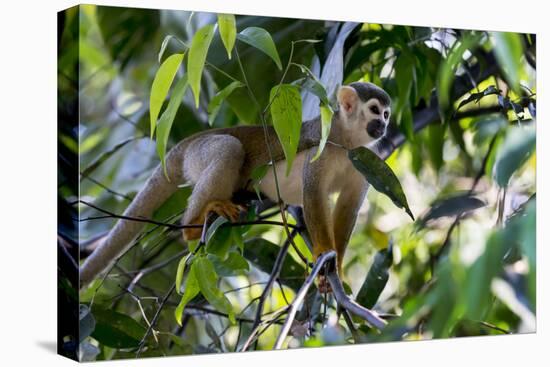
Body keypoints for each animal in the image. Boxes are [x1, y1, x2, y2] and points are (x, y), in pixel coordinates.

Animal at [81, 82, 392, 288]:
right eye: (374, 110)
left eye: (386, 113)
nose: (383, 125)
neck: (347, 141)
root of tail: (187, 143)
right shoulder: (322, 144)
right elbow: (313, 193)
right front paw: (323, 254)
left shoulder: (367, 158)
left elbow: (348, 206)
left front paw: (336, 265)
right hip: (200, 153)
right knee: (230, 148)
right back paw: (192, 226)